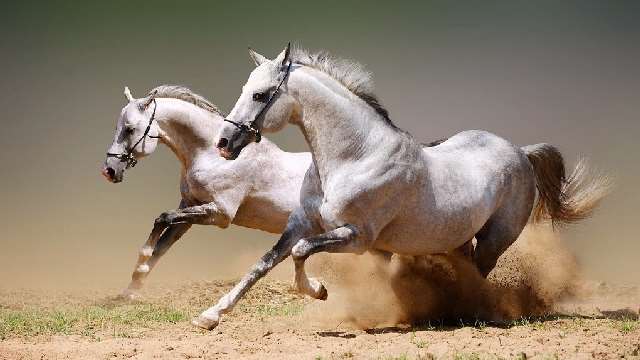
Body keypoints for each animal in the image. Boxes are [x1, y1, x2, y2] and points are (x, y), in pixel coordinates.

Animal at [198, 44, 608, 330]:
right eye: (246, 88)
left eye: (261, 94)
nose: (224, 143)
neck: (355, 156)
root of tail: (521, 152)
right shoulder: (301, 223)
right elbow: (263, 264)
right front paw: (210, 315)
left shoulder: (357, 237)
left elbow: (300, 253)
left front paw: (319, 291)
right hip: (458, 237)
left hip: (496, 238)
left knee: (479, 275)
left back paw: (469, 312)